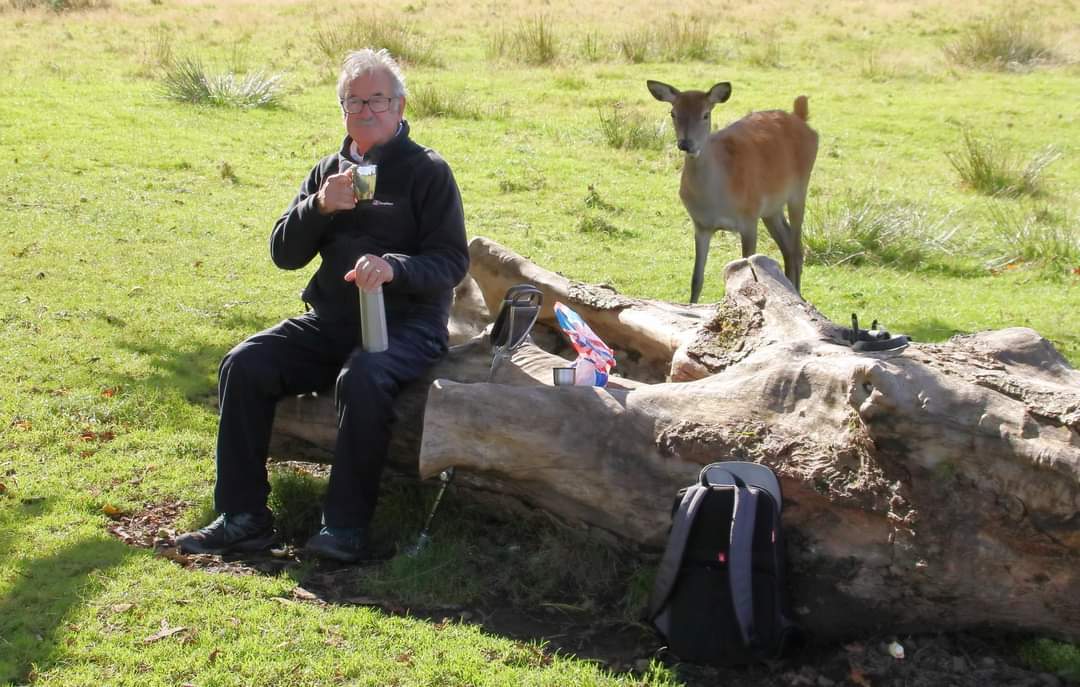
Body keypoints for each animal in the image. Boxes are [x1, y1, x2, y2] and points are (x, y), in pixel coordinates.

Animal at [643, 79, 812, 302]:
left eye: (706, 114)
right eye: (673, 113)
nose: (686, 144)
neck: (716, 200)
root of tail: (801, 118)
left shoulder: (749, 219)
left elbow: (746, 271)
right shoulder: (701, 225)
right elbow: (696, 279)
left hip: (799, 190)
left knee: (796, 248)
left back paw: (798, 295)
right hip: (771, 208)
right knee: (787, 245)